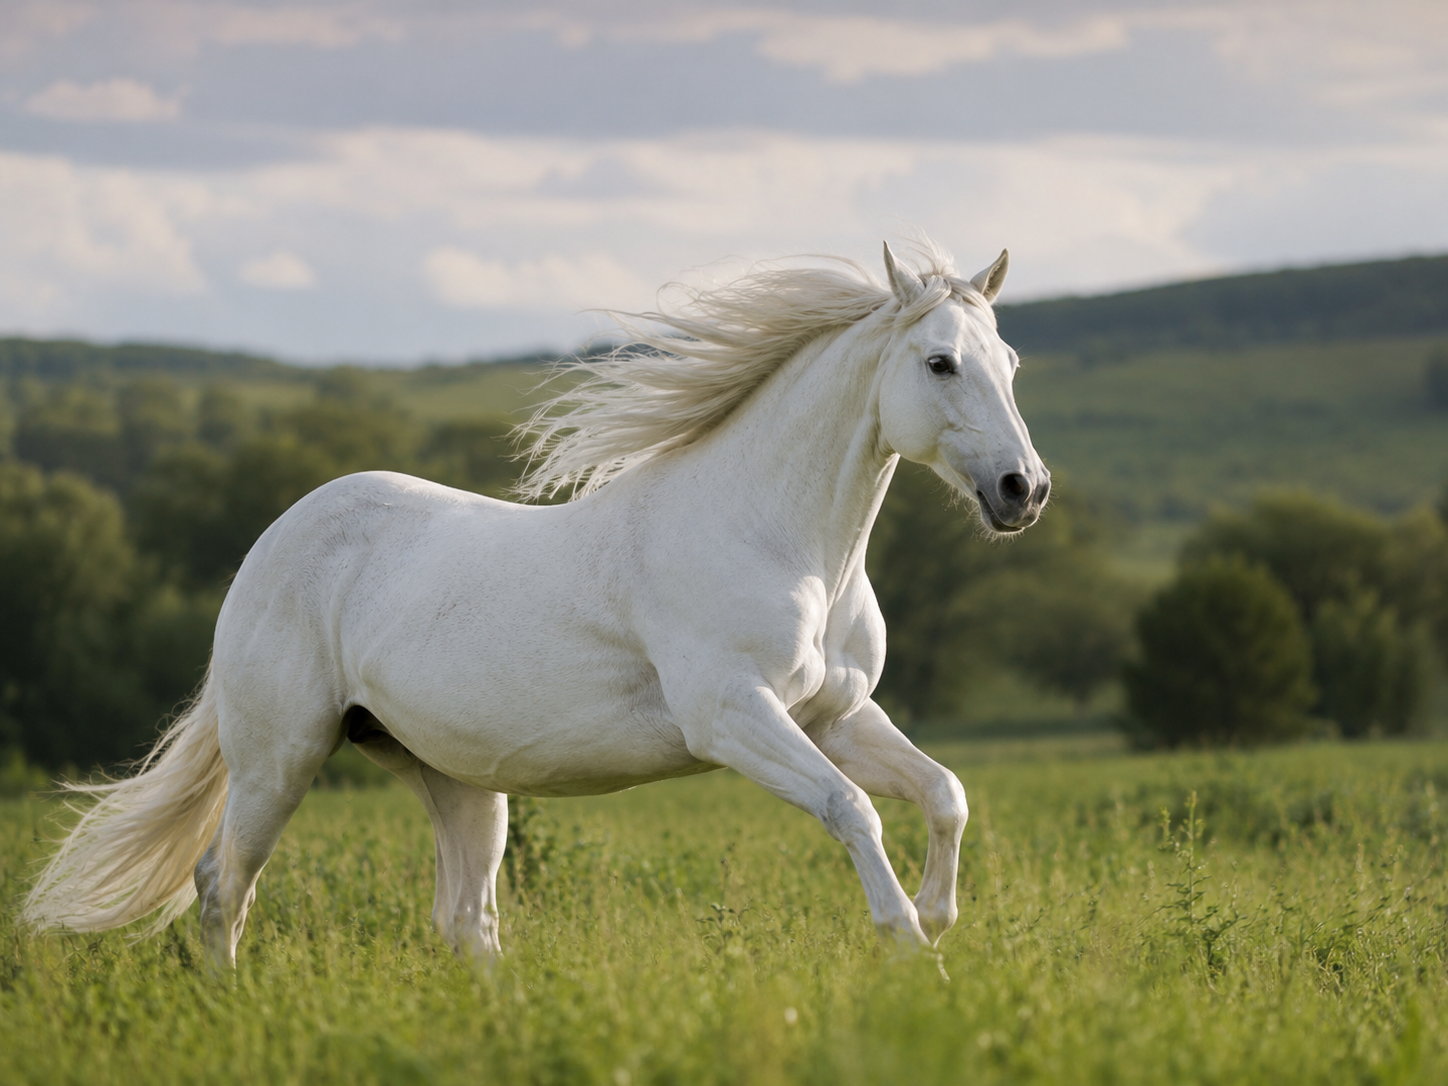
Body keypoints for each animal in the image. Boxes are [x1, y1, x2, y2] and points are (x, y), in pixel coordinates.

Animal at [24, 239, 1049, 970]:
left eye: (1010, 360)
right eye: (940, 363)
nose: (1022, 491)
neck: (780, 544)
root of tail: (271, 545)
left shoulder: (834, 716)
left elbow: (945, 794)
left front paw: (938, 919)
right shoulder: (734, 717)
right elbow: (853, 810)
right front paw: (911, 950)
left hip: (453, 779)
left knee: (463, 921)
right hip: (280, 755)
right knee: (221, 885)